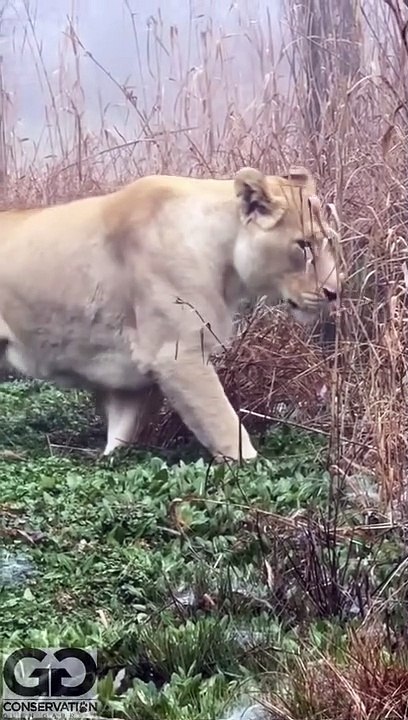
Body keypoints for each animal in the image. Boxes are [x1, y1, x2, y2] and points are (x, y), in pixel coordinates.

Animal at [0, 167, 342, 461]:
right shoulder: (177, 356)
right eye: (304, 245)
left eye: (329, 241)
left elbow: (120, 435)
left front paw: (108, 459)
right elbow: (224, 424)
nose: (335, 291)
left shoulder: (132, 378)